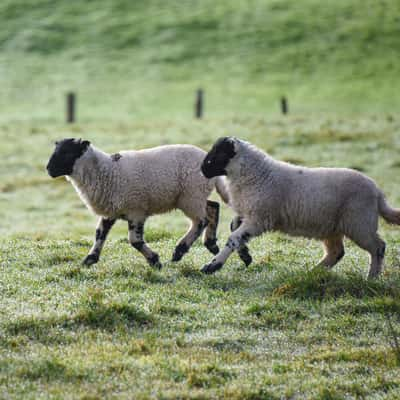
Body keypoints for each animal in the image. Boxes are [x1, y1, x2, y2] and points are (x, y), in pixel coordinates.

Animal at [46, 138, 231, 268]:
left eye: (67, 152)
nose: (48, 169)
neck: (106, 171)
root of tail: (206, 159)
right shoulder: (111, 211)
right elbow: (100, 234)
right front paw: (89, 259)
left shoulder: (136, 210)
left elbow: (134, 240)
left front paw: (154, 261)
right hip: (193, 197)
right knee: (213, 207)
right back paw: (211, 244)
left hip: (191, 195)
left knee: (200, 221)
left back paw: (179, 251)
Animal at [202, 137, 400, 278]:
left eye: (219, 153)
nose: (203, 169)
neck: (257, 174)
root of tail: (378, 192)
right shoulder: (248, 213)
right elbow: (235, 229)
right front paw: (245, 256)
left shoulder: (259, 218)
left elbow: (234, 238)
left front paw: (212, 265)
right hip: (333, 227)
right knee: (337, 252)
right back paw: (313, 273)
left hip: (359, 223)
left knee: (378, 247)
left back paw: (372, 278)